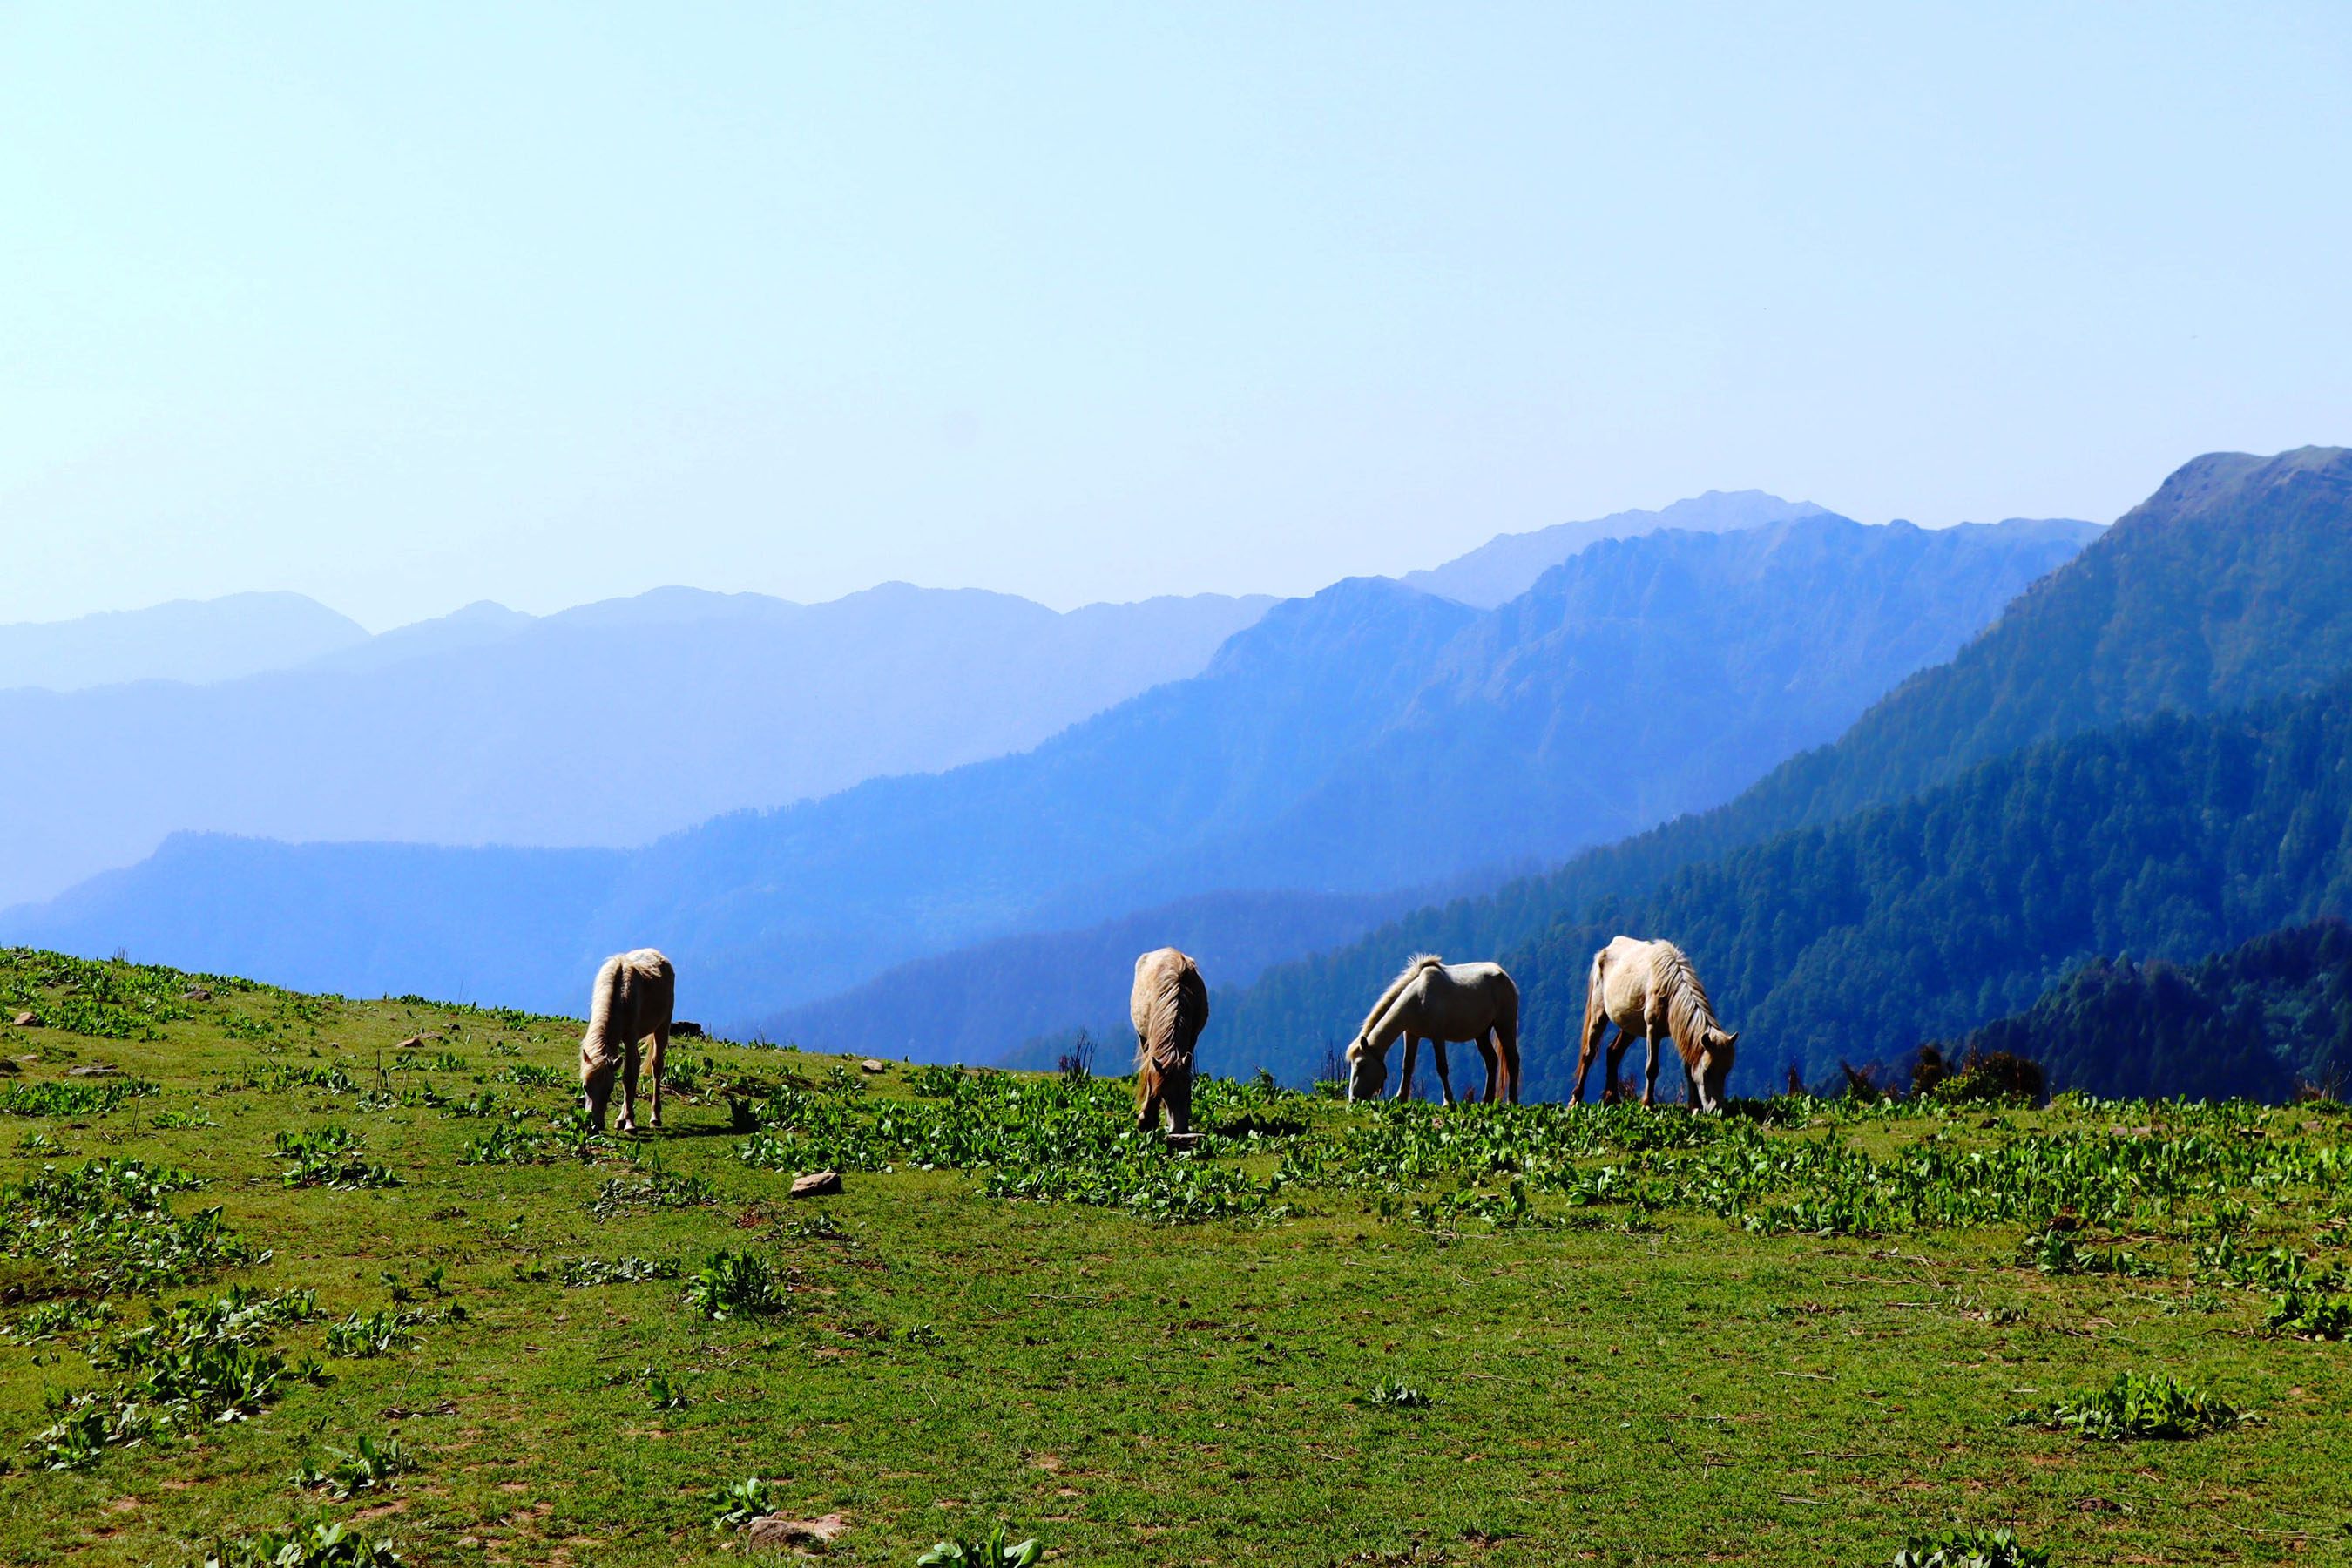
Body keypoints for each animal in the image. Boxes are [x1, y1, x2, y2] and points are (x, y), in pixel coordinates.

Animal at [580, 950, 677, 1132]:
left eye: (609, 1089)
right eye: (585, 1087)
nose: (595, 1125)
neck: (620, 994)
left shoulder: (631, 1038)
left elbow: (628, 1078)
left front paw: (630, 1123)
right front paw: (624, 1119)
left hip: (663, 1026)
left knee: (656, 1066)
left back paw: (654, 1117)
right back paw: (620, 1119)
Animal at [1345, 959, 1524, 1105]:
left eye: (1360, 1065)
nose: (1353, 1099)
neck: (1418, 998)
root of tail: (1505, 976)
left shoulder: (1437, 1037)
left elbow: (1442, 1068)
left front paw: (1448, 1101)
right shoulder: (1411, 1035)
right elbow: (1407, 1066)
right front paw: (1400, 1098)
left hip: (1504, 1025)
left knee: (1513, 1060)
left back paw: (1512, 1101)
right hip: (1481, 1033)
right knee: (1491, 1061)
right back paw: (1487, 1100)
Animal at [1571, 940, 1740, 1109]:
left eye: (1726, 1071)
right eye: (1707, 1071)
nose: (1716, 1108)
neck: (1670, 991)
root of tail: (1605, 950)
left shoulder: (1683, 1032)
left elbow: (1689, 1069)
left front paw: (1694, 1106)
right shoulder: (1653, 1030)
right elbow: (1651, 1068)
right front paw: (1648, 1104)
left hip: (1629, 1026)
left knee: (1613, 1052)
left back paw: (1612, 1099)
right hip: (1599, 1013)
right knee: (1589, 1054)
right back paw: (1576, 1099)